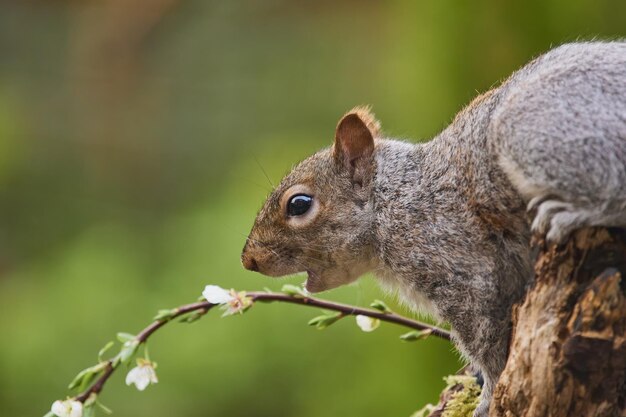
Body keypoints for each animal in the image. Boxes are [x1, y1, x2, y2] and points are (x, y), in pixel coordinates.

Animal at [240, 42, 624, 416]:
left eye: (299, 205)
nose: (248, 260)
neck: (396, 200)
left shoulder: (461, 265)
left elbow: (485, 342)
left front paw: (489, 395)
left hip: (534, 131)